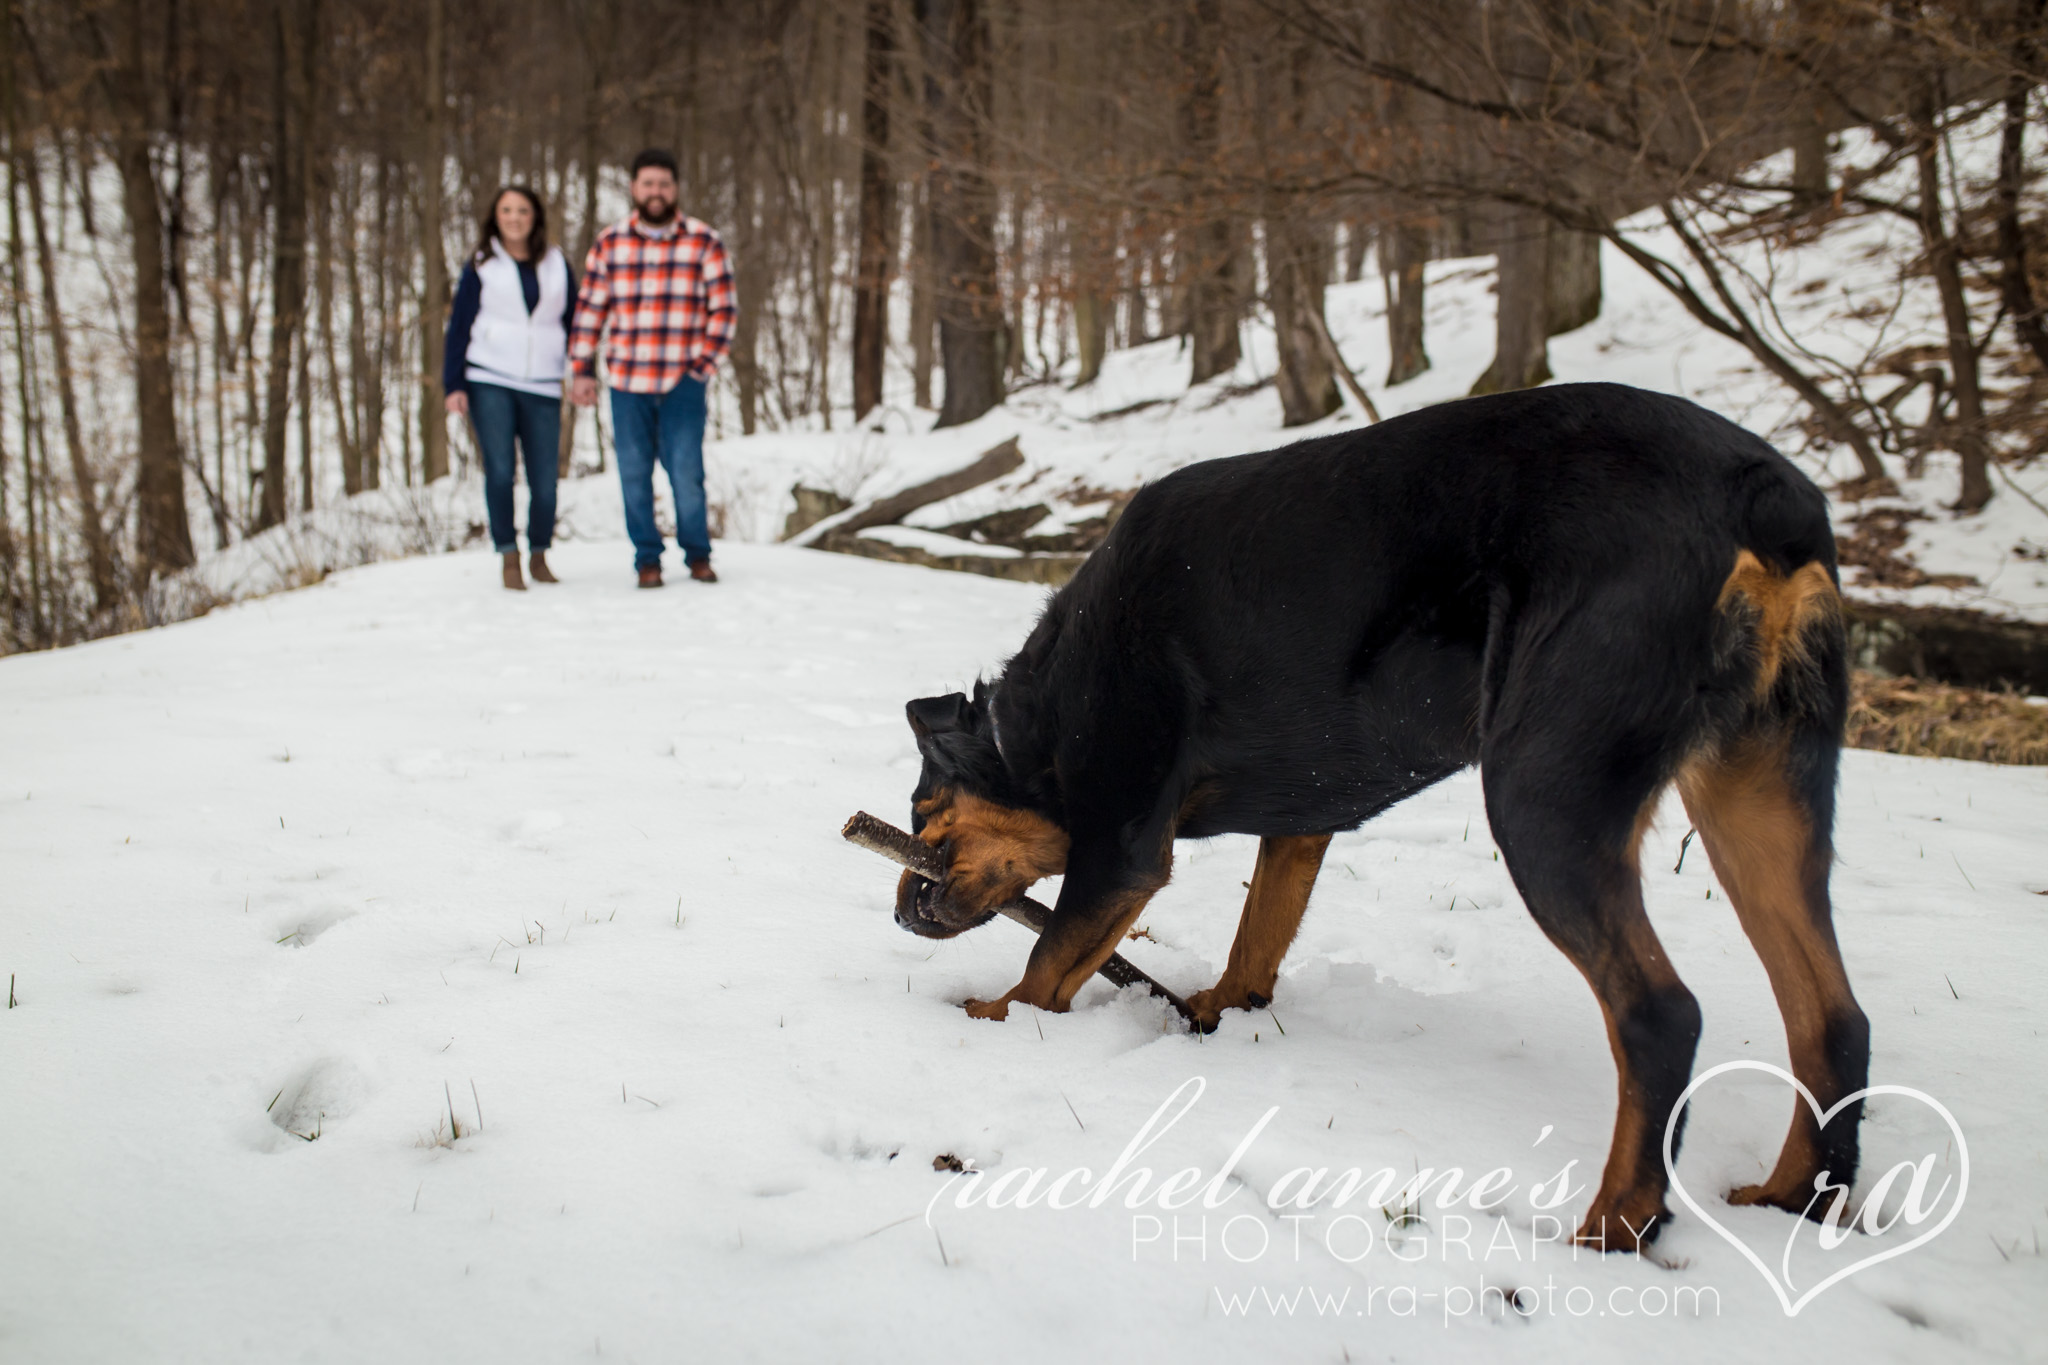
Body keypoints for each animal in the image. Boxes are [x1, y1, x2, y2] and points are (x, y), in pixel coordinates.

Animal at [888, 382, 1867, 1252]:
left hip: (1546, 791)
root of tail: (1758, 500)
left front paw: (991, 1022)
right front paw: (1220, 1010)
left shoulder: (1122, 846)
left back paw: (1610, 1229)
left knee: (1662, 1015)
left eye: (922, 812)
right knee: (1831, 1017)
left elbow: (1047, 964)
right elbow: (1258, 935)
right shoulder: (1301, 821)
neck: (1036, 726)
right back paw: (1793, 1200)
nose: (900, 907)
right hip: (1763, 795)